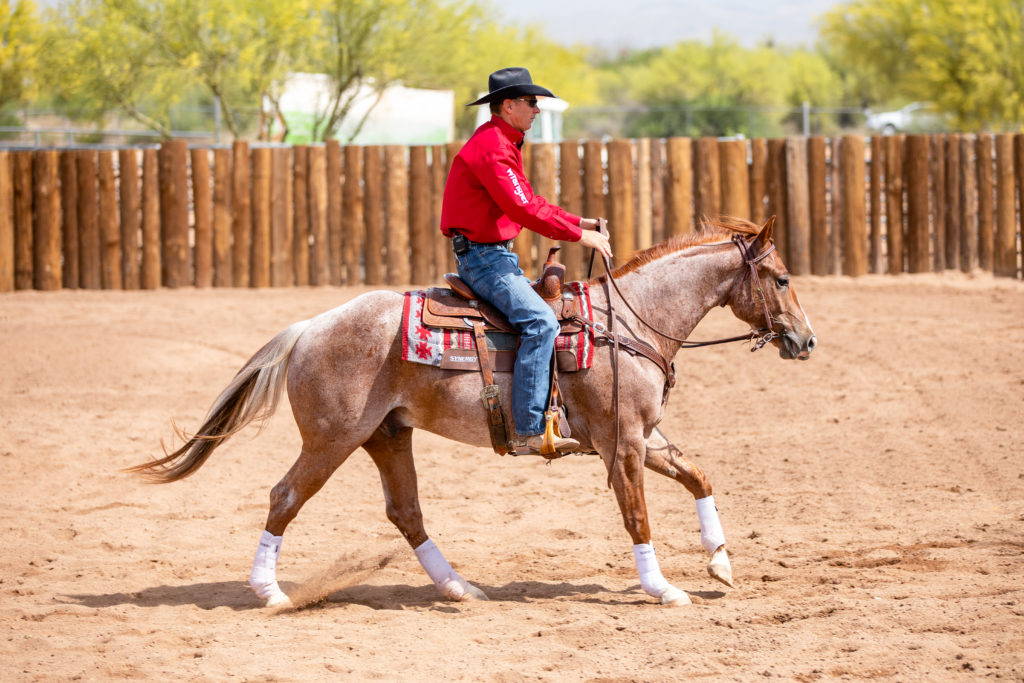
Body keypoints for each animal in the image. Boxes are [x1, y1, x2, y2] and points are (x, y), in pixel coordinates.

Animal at [127, 216, 816, 608]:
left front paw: (720, 564)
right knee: (285, 496)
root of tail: (308, 329)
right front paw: (664, 588)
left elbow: (699, 476)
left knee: (405, 512)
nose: (806, 341)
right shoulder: (620, 444)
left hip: (387, 436)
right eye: (782, 279)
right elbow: (637, 516)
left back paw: (460, 587)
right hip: (331, 440)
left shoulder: (642, 437)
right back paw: (270, 592)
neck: (629, 323)